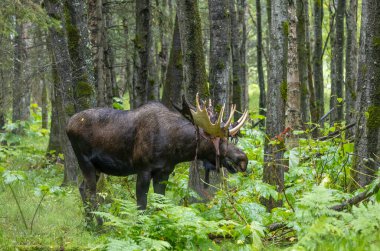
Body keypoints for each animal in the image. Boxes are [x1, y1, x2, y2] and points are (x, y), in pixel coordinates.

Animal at [66, 94, 248, 220]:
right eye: (218, 140)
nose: (243, 159)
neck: (175, 149)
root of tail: (67, 126)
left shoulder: (164, 172)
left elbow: (161, 202)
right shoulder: (143, 169)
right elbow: (141, 205)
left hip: (96, 167)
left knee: (82, 188)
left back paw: (89, 224)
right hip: (85, 161)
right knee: (90, 192)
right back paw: (99, 225)